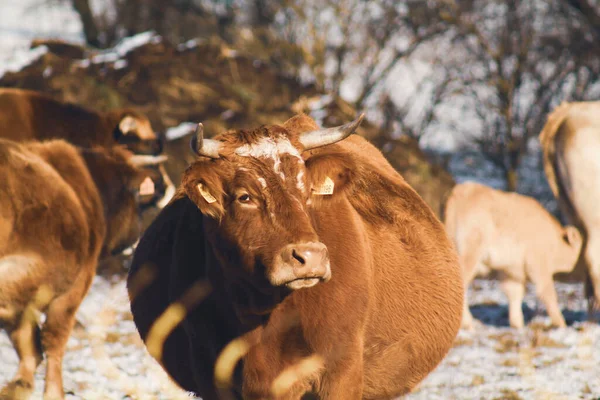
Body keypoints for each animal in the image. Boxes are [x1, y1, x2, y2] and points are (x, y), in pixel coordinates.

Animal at [0, 138, 169, 400]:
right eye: (140, 203)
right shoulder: (70, 290)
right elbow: (53, 340)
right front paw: (53, 391)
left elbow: (29, 345)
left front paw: (19, 384)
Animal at [446, 181, 580, 328]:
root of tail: (462, 190)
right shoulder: (538, 263)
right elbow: (548, 293)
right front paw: (560, 323)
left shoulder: (510, 268)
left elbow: (514, 293)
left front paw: (517, 324)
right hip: (471, 253)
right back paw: (467, 323)